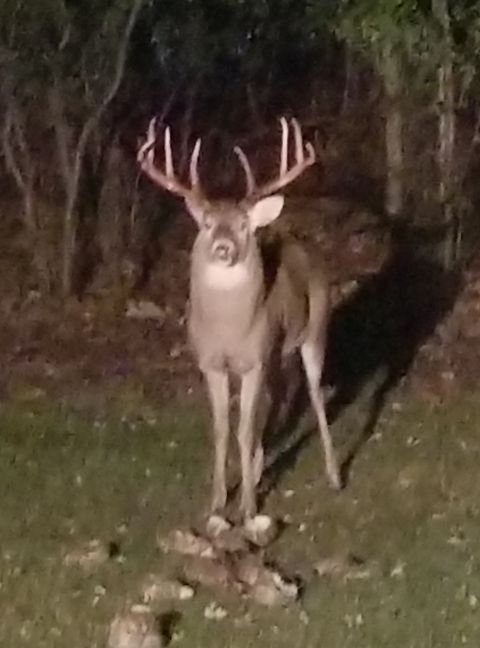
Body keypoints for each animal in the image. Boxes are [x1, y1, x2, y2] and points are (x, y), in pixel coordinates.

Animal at [137, 116, 341, 522]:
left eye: (245, 225)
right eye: (207, 223)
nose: (223, 247)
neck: (230, 330)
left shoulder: (253, 362)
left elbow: (243, 430)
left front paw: (247, 506)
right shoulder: (213, 362)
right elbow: (222, 430)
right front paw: (217, 503)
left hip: (315, 330)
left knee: (315, 395)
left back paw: (334, 475)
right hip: (276, 351)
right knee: (277, 398)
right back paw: (261, 468)